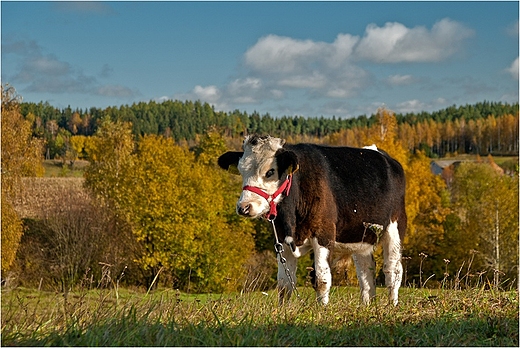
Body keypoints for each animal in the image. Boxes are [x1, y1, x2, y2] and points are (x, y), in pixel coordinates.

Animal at [217, 135, 408, 304]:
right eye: (241, 171)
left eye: (270, 171)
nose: (244, 207)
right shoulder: (282, 240)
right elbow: (284, 284)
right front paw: (283, 311)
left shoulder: (324, 233)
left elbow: (321, 279)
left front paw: (322, 310)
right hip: (363, 236)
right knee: (365, 272)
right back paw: (367, 306)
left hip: (395, 227)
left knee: (393, 270)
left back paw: (391, 305)